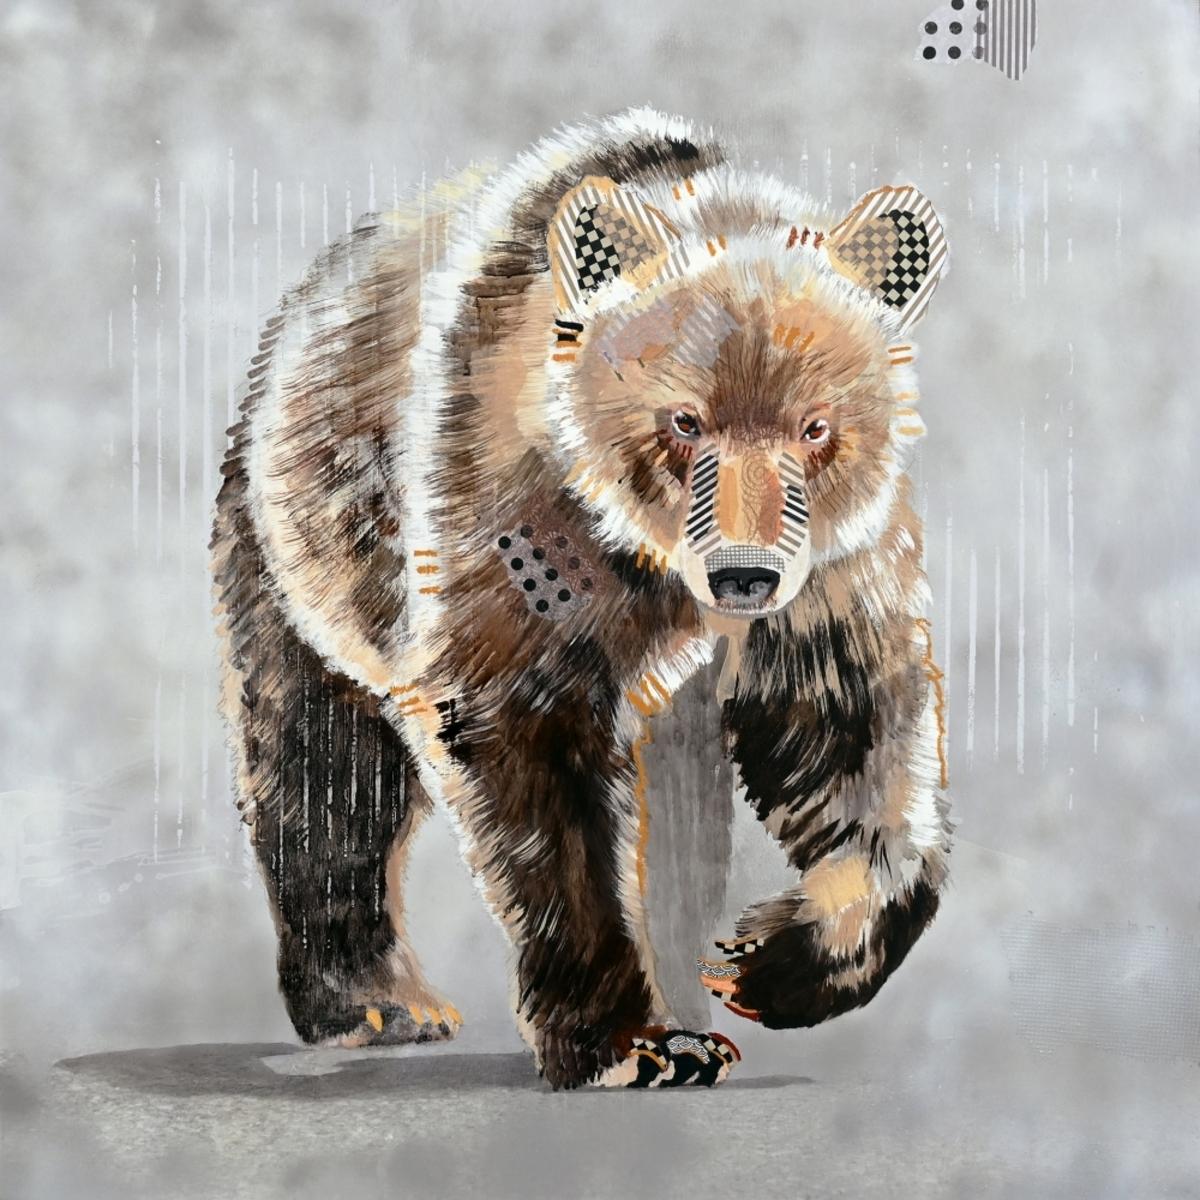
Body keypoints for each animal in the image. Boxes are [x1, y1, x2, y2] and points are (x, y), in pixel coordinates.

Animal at [211, 108, 953, 1090]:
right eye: (683, 419)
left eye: (817, 425)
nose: (743, 572)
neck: (654, 563)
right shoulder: (507, 531)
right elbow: (532, 752)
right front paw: (639, 1041)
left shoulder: (830, 570)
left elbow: (851, 730)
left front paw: (764, 963)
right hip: (299, 560)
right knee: (326, 773)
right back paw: (374, 999)